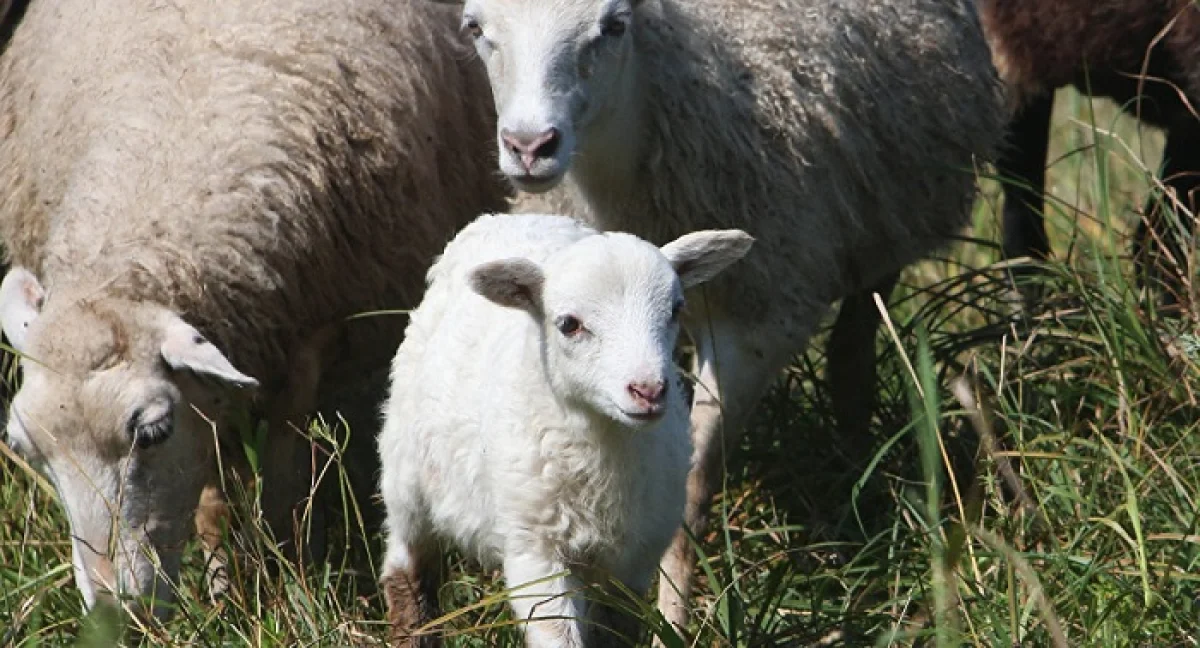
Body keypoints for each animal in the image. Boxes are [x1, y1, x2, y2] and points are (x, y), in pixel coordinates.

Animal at [0, 0, 508, 619]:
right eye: (25, 447)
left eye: (152, 432)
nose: (118, 615)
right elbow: (213, 503)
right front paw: (226, 597)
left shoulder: (310, 336)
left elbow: (285, 487)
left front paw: (295, 590)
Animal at [376, 211, 748, 643]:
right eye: (569, 324)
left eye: (675, 309)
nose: (649, 390)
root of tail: (515, 217)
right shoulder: (535, 550)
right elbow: (555, 631)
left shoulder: (635, 557)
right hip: (406, 475)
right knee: (408, 568)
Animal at [453, 0, 1008, 633]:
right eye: (476, 28)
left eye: (612, 25)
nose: (530, 146)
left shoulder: (759, 322)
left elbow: (691, 484)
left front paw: (675, 620)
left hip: (884, 229)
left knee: (852, 349)